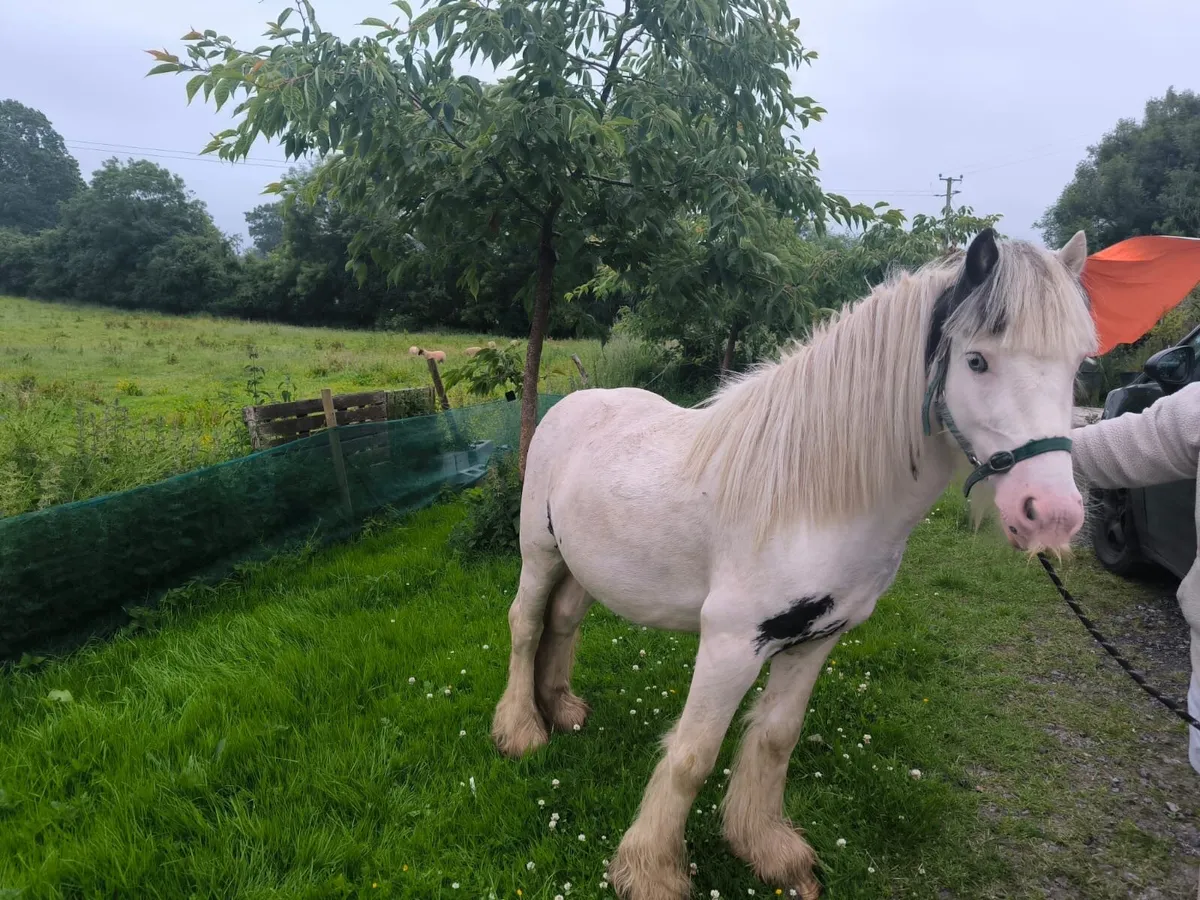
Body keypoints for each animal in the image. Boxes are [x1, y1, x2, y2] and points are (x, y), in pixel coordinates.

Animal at [490, 228, 1097, 900]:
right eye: (978, 361)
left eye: (1078, 366)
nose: (1052, 516)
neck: (810, 497)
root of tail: (573, 402)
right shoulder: (731, 644)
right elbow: (693, 755)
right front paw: (653, 872)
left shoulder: (814, 638)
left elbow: (776, 739)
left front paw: (768, 852)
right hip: (540, 552)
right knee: (526, 623)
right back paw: (522, 730)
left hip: (586, 568)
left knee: (564, 621)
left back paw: (562, 710)